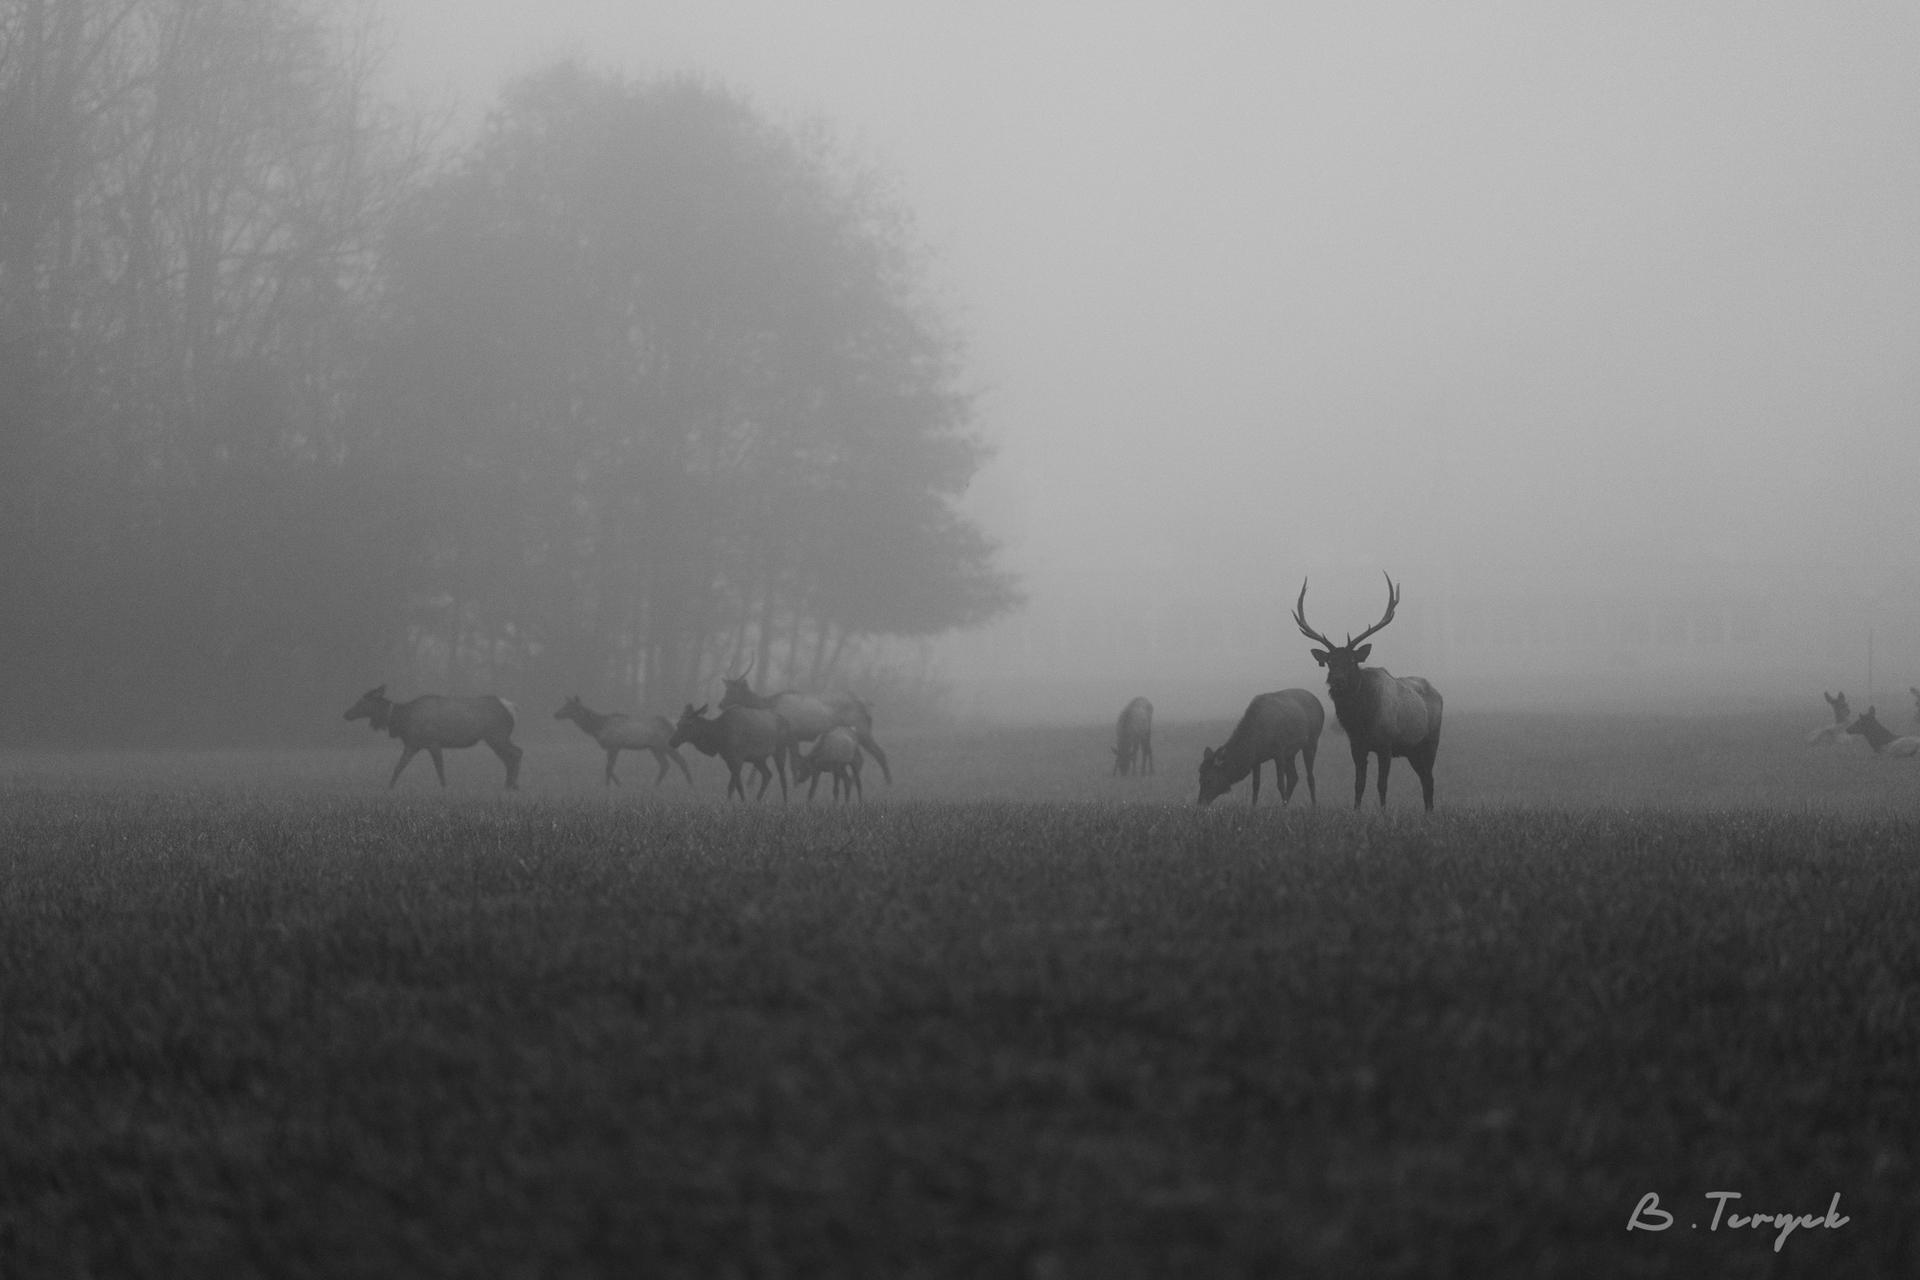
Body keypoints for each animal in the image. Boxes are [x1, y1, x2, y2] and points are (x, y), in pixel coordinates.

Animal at [343, 685, 523, 790]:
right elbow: (399, 766)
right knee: (510, 755)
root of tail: (513, 707)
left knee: (516, 752)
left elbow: (439, 768)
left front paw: (444, 787)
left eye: (361, 702)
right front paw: (389, 786)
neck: (402, 720)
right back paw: (509, 784)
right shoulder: (412, 744)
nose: (346, 714)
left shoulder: (433, 742)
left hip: (497, 735)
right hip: (494, 738)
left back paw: (512, 784)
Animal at [553, 696, 694, 787]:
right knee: (665, 765)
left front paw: (610, 786)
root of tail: (671, 725)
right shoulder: (614, 747)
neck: (597, 728)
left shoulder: (614, 745)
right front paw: (618, 784)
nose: (556, 714)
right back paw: (654, 785)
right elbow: (609, 767)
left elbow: (609, 767)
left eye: (570, 707)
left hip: (665, 745)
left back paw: (691, 785)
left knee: (681, 761)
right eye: (564, 705)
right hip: (654, 747)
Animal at [718, 662, 892, 784]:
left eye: (733, 691)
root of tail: (866, 704)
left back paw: (887, 784)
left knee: (880, 753)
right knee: (864, 757)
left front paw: (794, 782)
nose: (720, 704)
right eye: (726, 690)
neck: (769, 705)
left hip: (863, 730)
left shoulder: (792, 736)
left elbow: (793, 762)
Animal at [1292, 573, 1444, 811]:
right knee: (1425, 779)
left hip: (1430, 741)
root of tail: (1438, 693)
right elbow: (1359, 783)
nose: (1337, 680)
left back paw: (1429, 812)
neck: (1362, 720)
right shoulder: (1356, 745)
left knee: (1429, 780)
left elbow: (1382, 784)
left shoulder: (1386, 744)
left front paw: (1383, 813)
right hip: (1412, 750)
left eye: (1352, 661)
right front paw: (1356, 811)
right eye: (1330, 662)